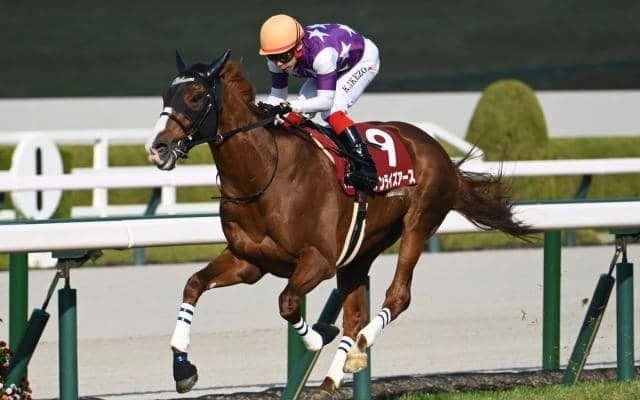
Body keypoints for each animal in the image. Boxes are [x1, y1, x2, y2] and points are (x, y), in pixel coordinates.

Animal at [145, 49, 534, 399]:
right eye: (165, 96)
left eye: (196, 96)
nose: (157, 148)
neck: (264, 173)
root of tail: (439, 153)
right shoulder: (249, 261)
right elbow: (193, 285)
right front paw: (183, 368)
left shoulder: (319, 259)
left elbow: (288, 302)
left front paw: (320, 334)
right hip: (361, 250)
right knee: (355, 314)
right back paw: (333, 379)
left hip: (419, 223)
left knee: (397, 296)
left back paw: (360, 345)